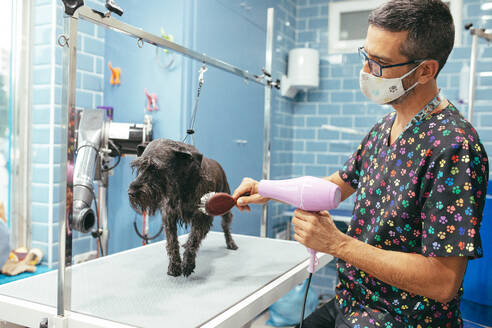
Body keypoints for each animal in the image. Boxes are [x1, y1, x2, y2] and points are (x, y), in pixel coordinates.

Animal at [128, 138, 237, 276]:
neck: (181, 184)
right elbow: (172, 242)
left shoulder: (201, 217)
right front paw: (174, 265)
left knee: (225, 227)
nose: (131, 193)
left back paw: (231, 243)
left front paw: (188, 263)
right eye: (140, 167)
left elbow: (194, 239)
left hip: (226, 207)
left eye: (155, 168)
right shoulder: (169, 216)